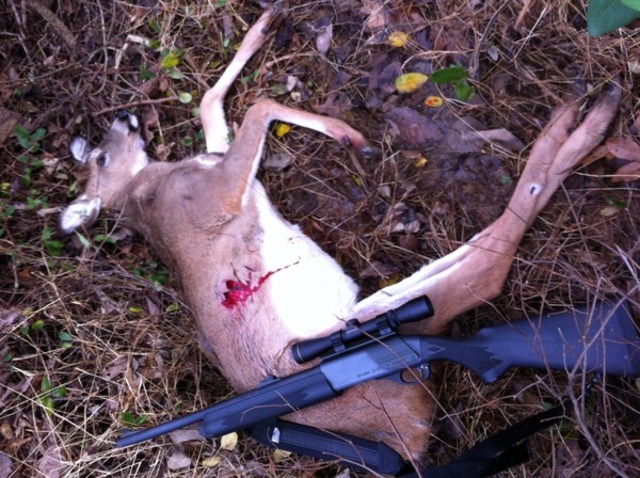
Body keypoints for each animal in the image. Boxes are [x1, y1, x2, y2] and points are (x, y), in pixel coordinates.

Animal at [59, 7, 621, 464]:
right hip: (383, 314)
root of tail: (408, 438)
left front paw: (270, 33)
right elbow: (255, 103)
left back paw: (587, 112)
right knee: (490, 264)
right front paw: (349, 133)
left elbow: (216, 100)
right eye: (101, 157)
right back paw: (585, 120)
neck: (150, 190)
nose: (125, 116)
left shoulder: (221, 169)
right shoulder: (221, 193)